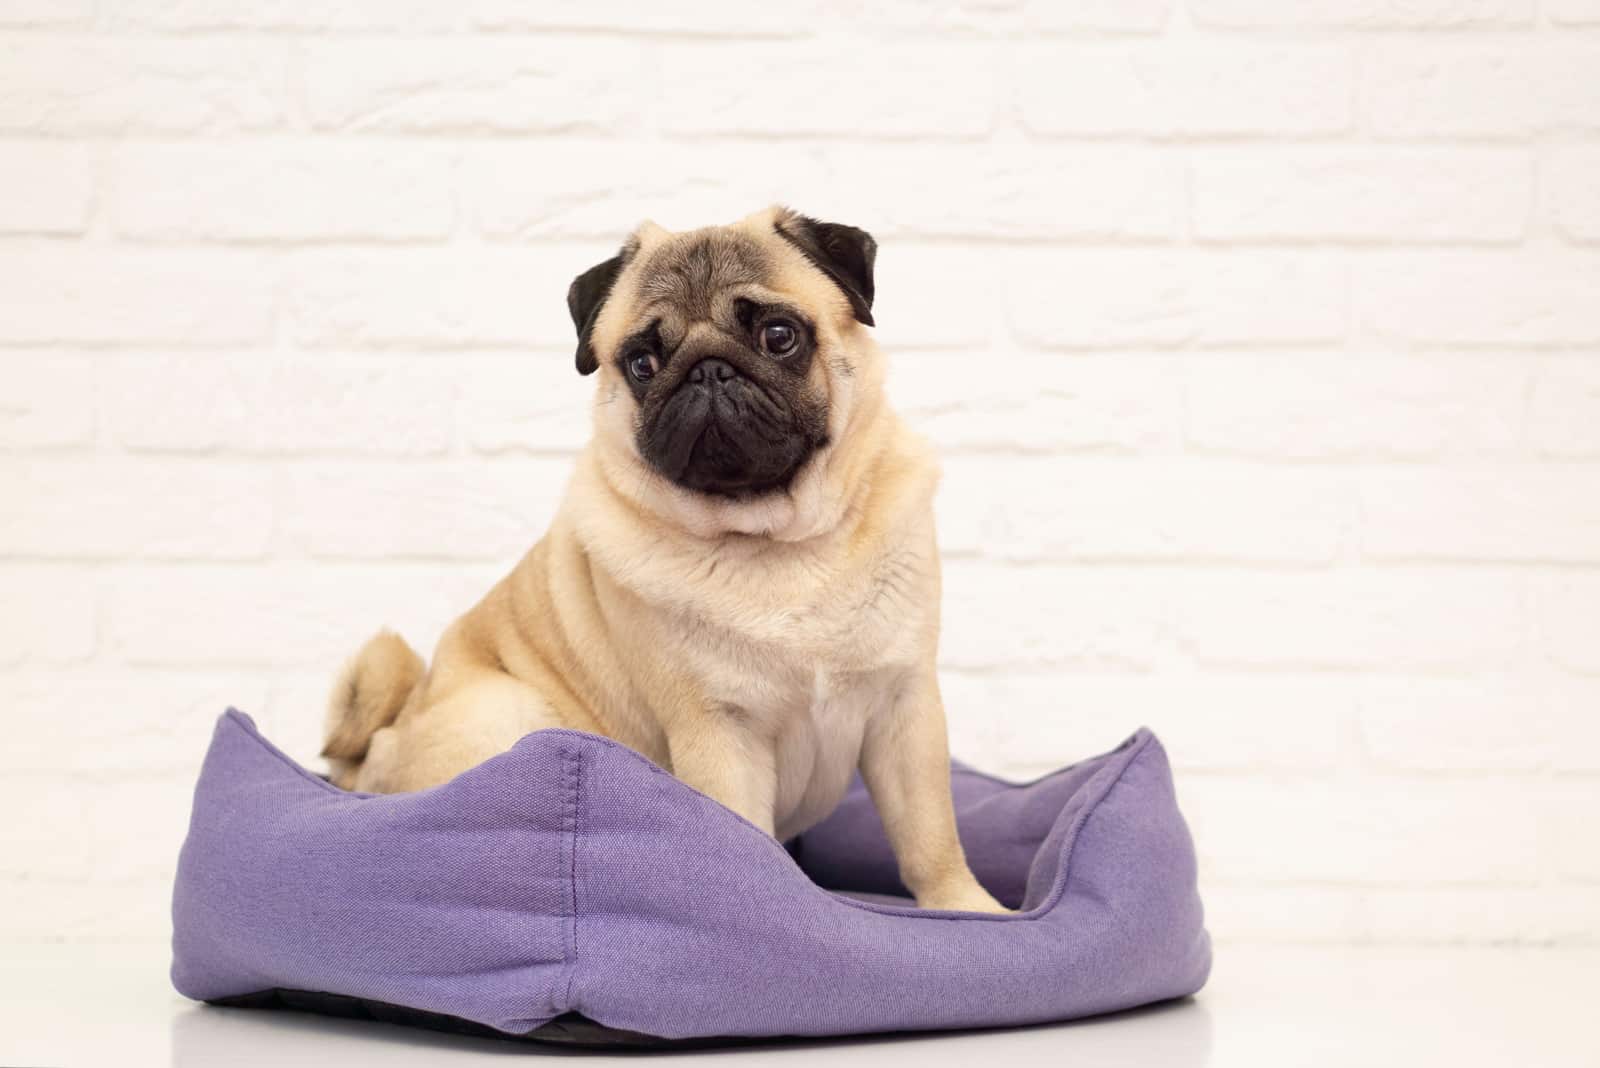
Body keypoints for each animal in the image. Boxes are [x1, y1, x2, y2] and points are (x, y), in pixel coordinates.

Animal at [320, 206, 1004, 908]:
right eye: (642, 363)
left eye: (779, 335)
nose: (707, 369)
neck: (778, 541)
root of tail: (370, 754)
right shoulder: (719, 733)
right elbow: (749, 840)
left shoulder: (906, 709)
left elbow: (930, 835)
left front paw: (966, 908)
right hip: (507, 711)